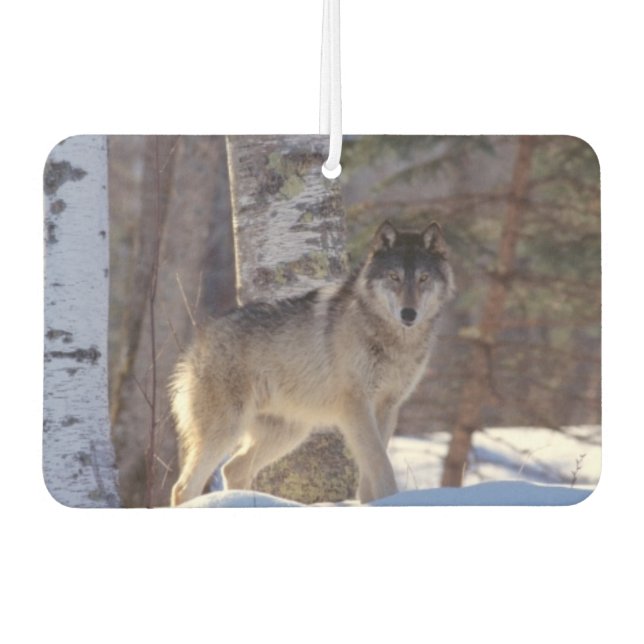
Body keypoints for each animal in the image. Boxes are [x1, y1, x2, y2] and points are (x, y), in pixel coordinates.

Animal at [169, 221, 455, 506]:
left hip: (290, 433)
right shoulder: (355, 407)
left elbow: (371, 469)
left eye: (423, 278)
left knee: (232, 469)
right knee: (183, 487)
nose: (408, 314)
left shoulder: (387, 408)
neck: (392, 341)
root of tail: (200, 337)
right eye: (394, 277)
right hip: (227, 430)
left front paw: (373, 504)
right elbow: (381, 464)